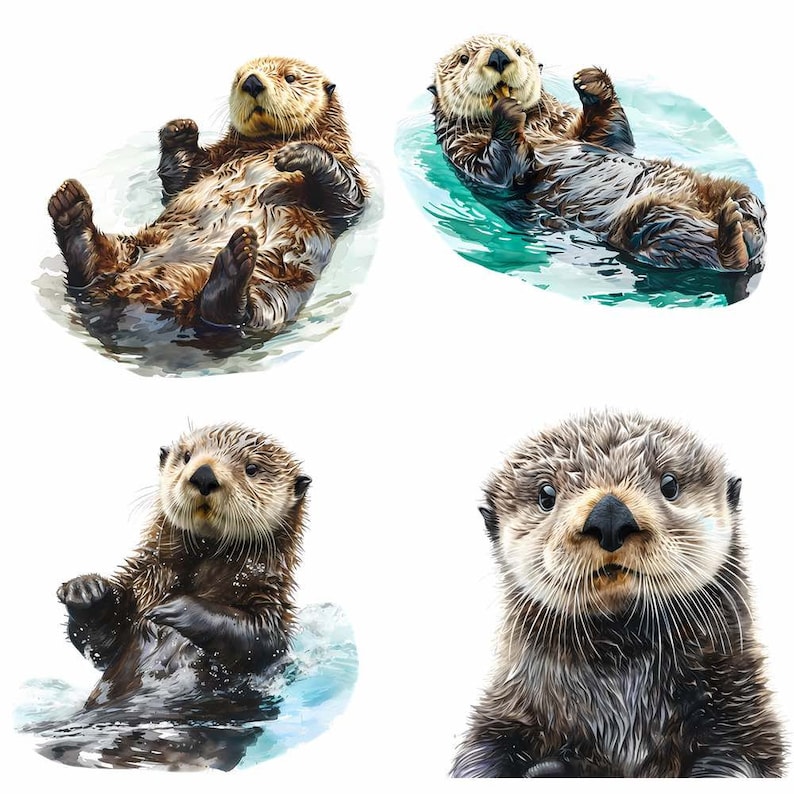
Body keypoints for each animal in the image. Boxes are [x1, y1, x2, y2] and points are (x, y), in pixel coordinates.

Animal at [47, 56, 367, 330]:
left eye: (290, 77)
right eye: (238, 78)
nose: (252, 82)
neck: (267, 143)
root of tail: (145, 303)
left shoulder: (349, 175)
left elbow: (346, 197)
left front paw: (298, 153)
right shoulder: (210, 163)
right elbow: (179, 177)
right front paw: (180, 129)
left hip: (277, 289)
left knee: (237, 318)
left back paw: (234, 264)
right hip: (133, 246)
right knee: (92, 265)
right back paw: (71, 210)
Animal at [47, 423, 311, 769]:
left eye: (252, 468)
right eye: (187, 456)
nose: (203, 474)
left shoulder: (271, 611)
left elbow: (255, 637)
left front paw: (174, 609)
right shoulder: (143, 584)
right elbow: (103, 644)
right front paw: (86, 590)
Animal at [431, 35, 765, 271]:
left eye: (519, 50)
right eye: (463, 58)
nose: (499, 56)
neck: (536, 122)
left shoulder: (572, 125)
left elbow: (612, 136)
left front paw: (591, 81)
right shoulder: (463, 152)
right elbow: (500, 172)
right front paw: (506, 109)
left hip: (726, 189)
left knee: (747, 209)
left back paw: (744, 216)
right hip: (652, 226)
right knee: (715, 257)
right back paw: (733, 232)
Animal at [452, 411, 784, 778]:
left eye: (670, 485)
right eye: (546, 495)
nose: (609, 515)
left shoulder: (739, 709)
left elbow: (738, 760)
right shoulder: (508, 710)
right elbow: (476, 759)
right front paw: (551, 768)